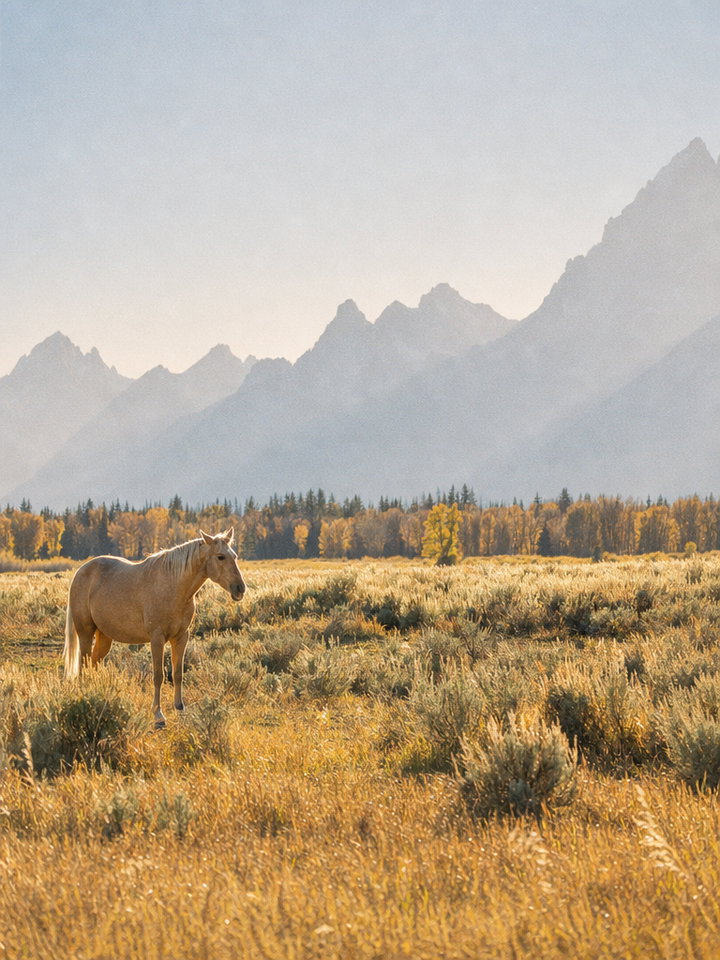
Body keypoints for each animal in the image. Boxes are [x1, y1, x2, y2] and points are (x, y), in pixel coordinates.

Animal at [63, 528, 246, 727]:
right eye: (220, 557)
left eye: (234, 556)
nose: (240, 588)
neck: (173, 587)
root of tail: (81, 571)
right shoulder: (157, 638)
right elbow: (158, 675)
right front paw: (158, 715)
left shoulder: (181, 637)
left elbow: (177, 673)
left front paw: (180, 708)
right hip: (86, 633)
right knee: (84, 664)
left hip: (104, 636)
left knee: (94, 662)